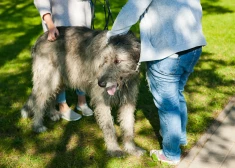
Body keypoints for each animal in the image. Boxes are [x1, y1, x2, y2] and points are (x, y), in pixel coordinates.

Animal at [20, 26, 145, 156]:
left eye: (117, 61)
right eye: (104, 60)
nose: (100, 83)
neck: (124, 82)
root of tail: (41, 38)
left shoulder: (128, 100)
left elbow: (128, 125)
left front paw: (131, 148)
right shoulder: (102, 100)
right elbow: (108, 126)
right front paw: (114, 149)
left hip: (60, 79)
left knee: (52, 96)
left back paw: (52, 113)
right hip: (48, 79)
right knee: (39, 100)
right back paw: (38, 125)